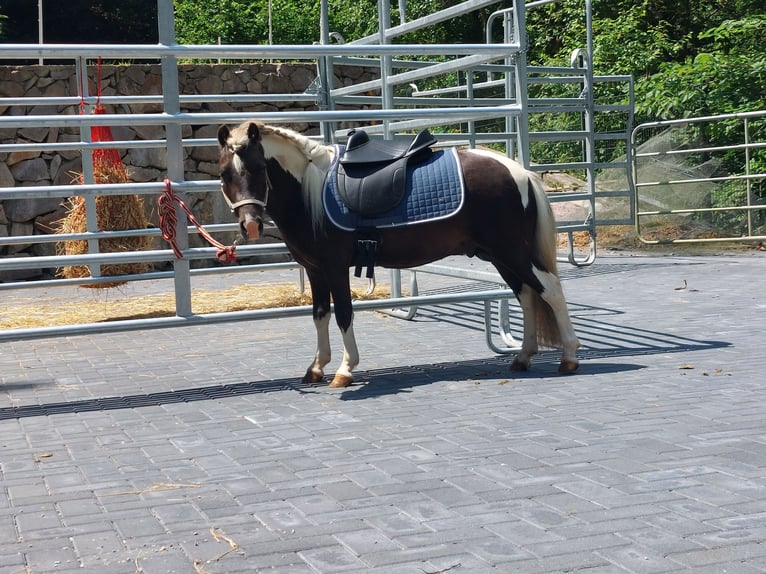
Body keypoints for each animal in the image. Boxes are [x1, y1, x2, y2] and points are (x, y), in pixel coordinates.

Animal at [219, 122, 580, 392]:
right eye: (224, 174)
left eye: (258, 168)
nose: (251, 225)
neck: (309, 190)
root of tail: (519, 172)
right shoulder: (315, 270)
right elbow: (319, 315)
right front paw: (316, 368)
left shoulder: (335, 267)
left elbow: (344, 315)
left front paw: (345, 370)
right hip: (500, 257)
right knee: (527, 295)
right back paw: (523, 358)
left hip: (514, 252)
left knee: (550, 290)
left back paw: (569, 358)